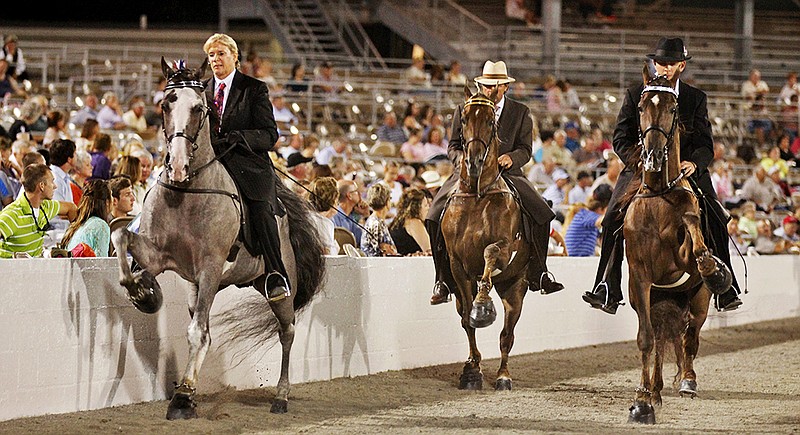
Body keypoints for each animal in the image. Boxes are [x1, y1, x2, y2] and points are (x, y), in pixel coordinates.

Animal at [111, 59, 324, 420]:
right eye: (166, 104)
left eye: (200, 108)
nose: (178, 165)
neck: (185, 193)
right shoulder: (159, 255)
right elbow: (119, 234)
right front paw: (142, 291)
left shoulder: (209, 267)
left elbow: (198, 333)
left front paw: (183, 398)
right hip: (206, 287)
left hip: (274, 285)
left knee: (286, 331)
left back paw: (281, 397)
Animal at [438, 87, 532, 392]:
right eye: (464, 119)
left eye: (492, 121)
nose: (474, 162)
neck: (478, 195)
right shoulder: (456, 265)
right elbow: (467, 320)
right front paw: (472, 371)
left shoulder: (503, 248)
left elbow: (490, 254)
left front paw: (482, 306)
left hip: (516, 286)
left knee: (507, 335)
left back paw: (503, 376)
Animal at [624, 63, 732, 424]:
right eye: (641, 107)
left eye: (672, 108)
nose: (653, 157)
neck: (659, 197)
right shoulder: (641, 279)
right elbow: (646, 340)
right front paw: (641, 401)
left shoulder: (683, 263)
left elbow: (693, 231)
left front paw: (715, 269)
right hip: (655, 300)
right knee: (660, 338)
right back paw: (655, 390)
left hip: (697, 301)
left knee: (690, 337)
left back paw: (688, 382)